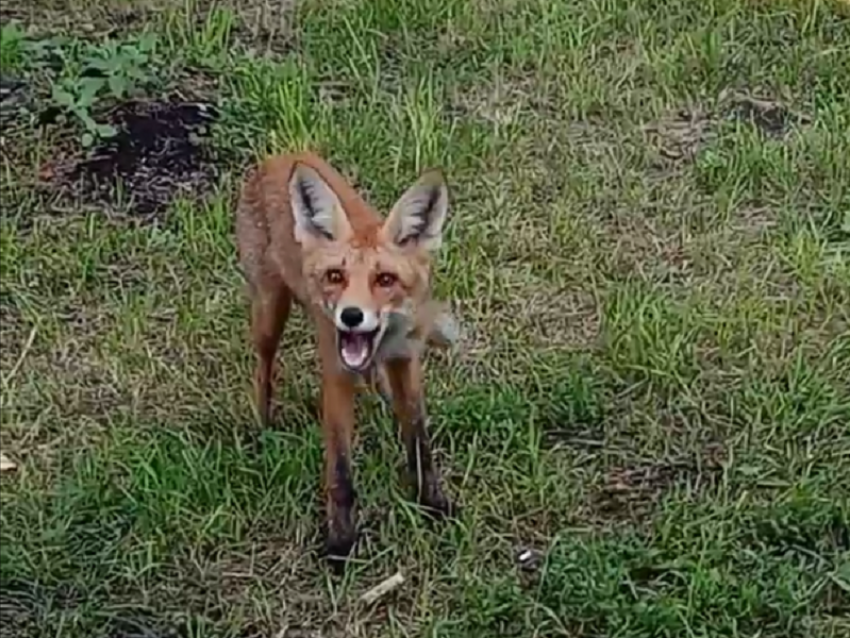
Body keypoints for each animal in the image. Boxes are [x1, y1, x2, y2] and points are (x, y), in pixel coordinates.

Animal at [232, 150, 458, 564]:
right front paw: (341, 543)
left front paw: (433, 503)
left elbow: (419, 440)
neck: (383, 340)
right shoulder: (336, 374)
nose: (350, 316)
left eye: (385, 280)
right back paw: (263, 429)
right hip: (269, 315)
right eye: (335, 276)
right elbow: (340, 472)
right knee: (263, 372)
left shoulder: (407, 361)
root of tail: (283, 154)